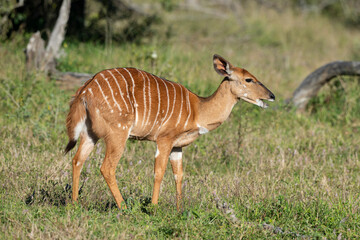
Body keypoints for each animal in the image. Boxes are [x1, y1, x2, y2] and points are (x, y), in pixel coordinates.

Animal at [64, 54, 274, 210]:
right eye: (249, 79)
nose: (271, 96)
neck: (198, 110)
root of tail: (85, 90)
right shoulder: (164, 139)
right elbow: (159, 172)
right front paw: (154, 207)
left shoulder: (177, 146)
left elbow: (178, 175)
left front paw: (179, 209)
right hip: (118, 133)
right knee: (106, 167)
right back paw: (124, 207)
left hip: (90, 133)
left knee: (77, 160)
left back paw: (74, 204)